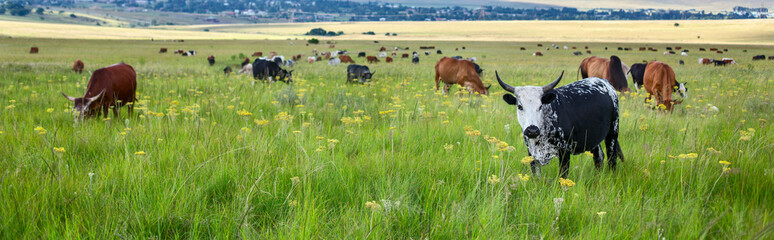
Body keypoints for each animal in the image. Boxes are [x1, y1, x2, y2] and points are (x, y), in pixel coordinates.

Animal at [500, 70, 628, 177]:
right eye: (520, 106)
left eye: (540, 106)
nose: (532, 130)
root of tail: (604, 82)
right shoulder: (531, 153)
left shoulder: (565, 151)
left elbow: (563, 175)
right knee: (599, 157)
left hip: (613, 132)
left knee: (611, 159)